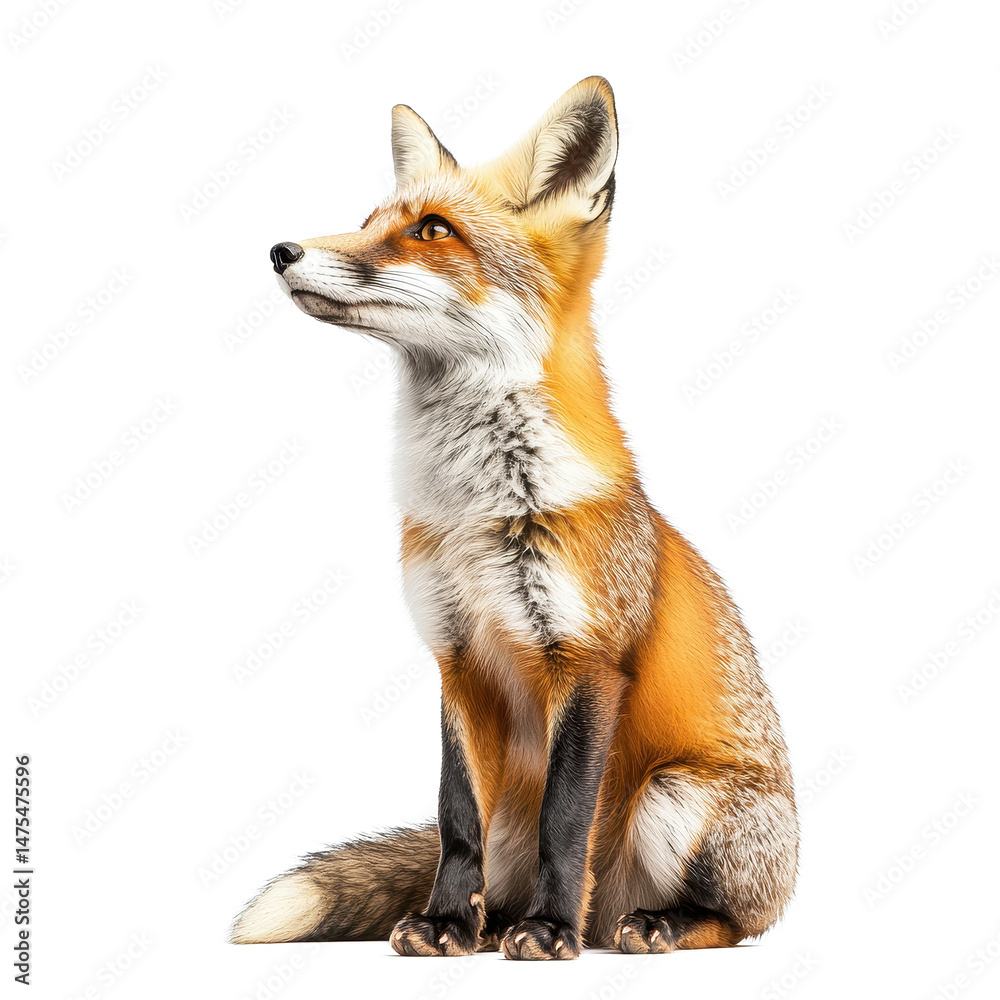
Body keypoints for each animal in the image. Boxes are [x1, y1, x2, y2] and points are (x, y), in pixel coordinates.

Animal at [230, 76, 798, 960]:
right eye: (369, 222)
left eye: (431, 230)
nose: (281, 250)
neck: (476, 511)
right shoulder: (457, 658)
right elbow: (454, 816)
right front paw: (443, 924)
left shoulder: (588, 661)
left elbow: (566, 820)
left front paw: (548, 930)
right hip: (521, 824)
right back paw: (493, 920)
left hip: (675, 796)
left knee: (735, 924)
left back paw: (641, 923)